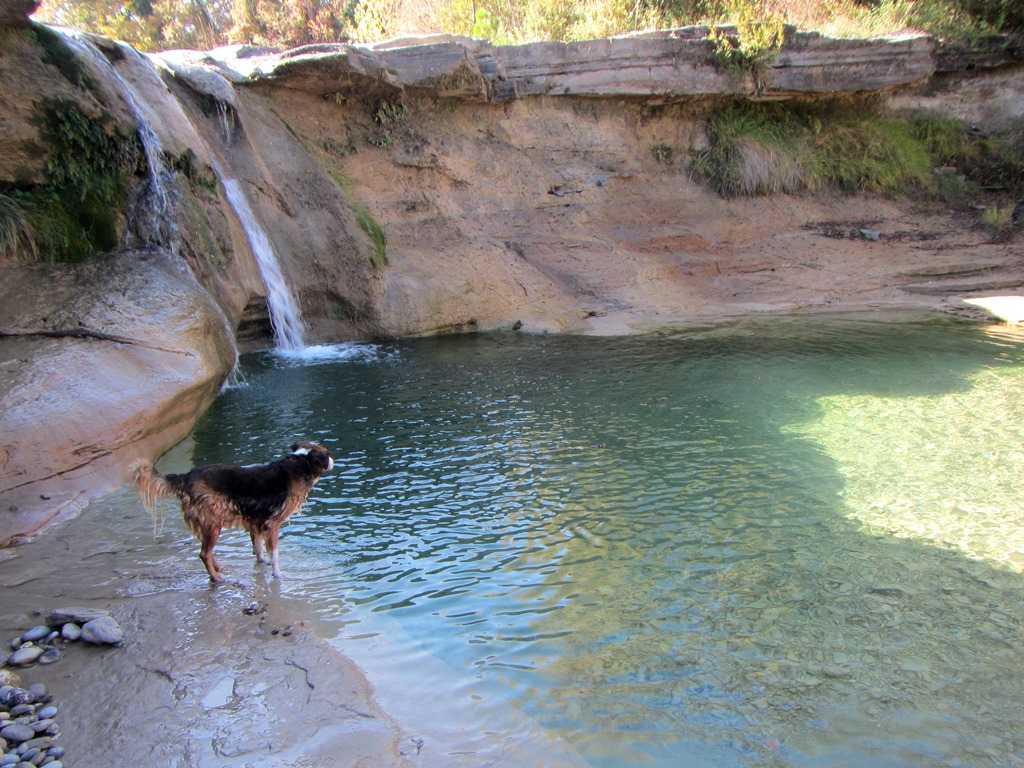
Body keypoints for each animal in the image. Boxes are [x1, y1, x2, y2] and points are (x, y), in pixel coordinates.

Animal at [130, 444, 333, 581]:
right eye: (327, 454)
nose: (333, 460)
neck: (300, 463)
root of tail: (186, 477)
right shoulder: (272, 524)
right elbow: (274, 553)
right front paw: (277, 574)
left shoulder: (255, 519)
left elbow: (258, 546)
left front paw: (261, 562)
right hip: (213, 522)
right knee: (204, 553)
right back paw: (215, 577)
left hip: (209, 522)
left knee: (207, 550)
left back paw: (217, 567)